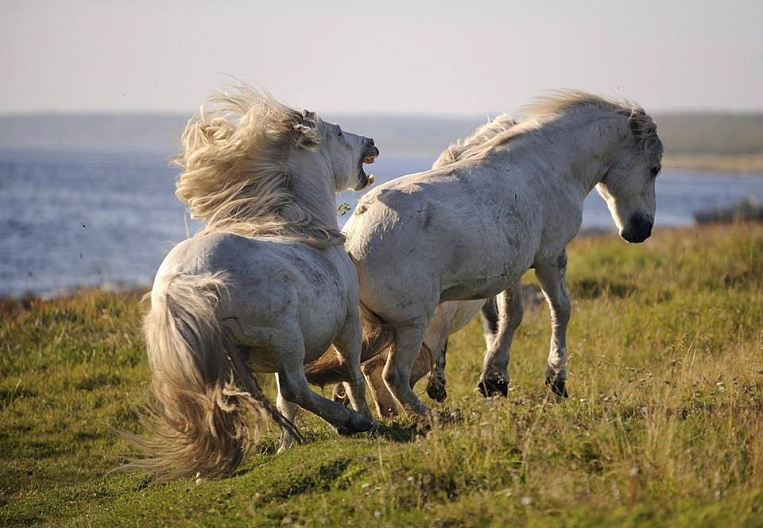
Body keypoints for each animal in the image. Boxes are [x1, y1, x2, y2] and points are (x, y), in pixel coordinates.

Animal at [128, 85, 382, 478]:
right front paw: (367, 418)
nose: (371, 142)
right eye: (339, 133)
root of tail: (183, 282)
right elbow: (353, 376)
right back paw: (351, 422)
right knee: (296, 388)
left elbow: (284, 401)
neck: (307, 230)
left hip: (232, 356)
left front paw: (285, 447)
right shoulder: (348, 326)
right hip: (286, 337)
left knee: (237, 398)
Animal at [310, 92, 664, 416]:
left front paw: (494, 379)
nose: (641, 230)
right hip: (410, 325)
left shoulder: (513, 268)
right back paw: (430, 417)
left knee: (360, 372)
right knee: (392, 375)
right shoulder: (550, 258)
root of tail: (353, 237)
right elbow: (561, 310)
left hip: (381, 330)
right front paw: (555, 380)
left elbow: (510, 316)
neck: (549, 165)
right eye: (655, 169)